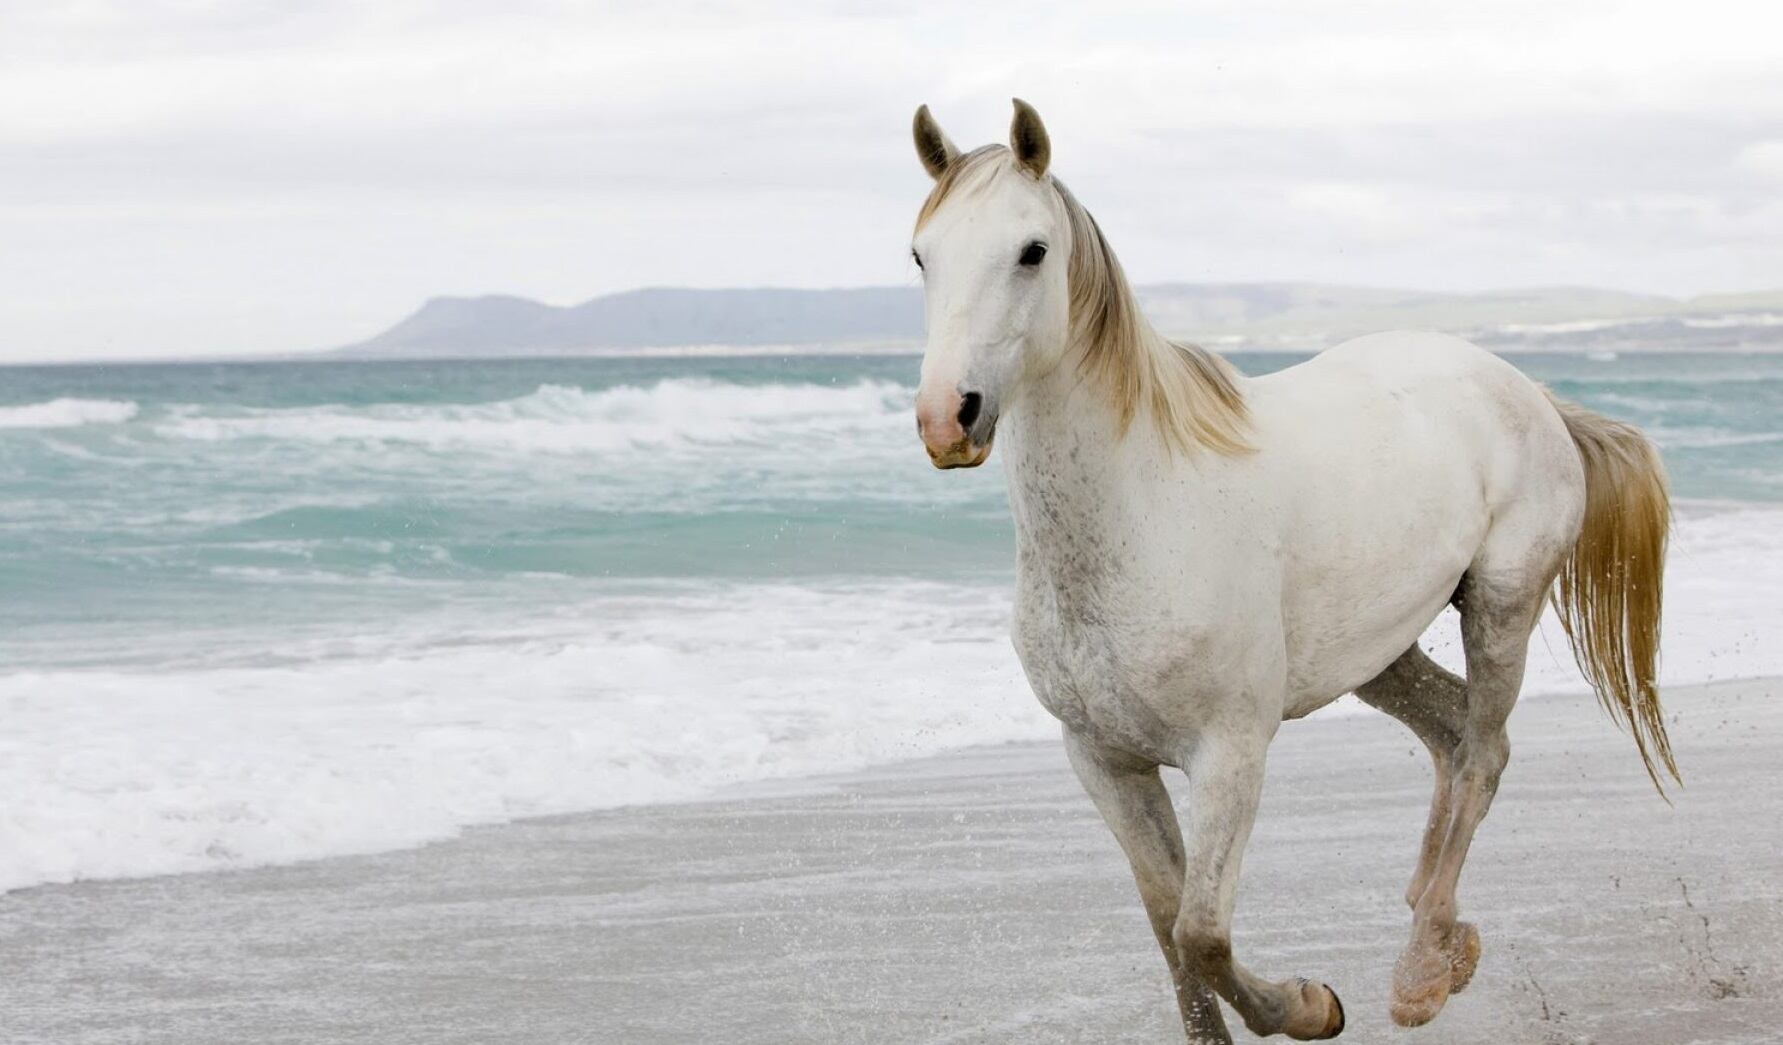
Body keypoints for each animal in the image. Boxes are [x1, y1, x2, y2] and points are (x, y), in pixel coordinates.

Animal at [912, 99, 1676, 1041]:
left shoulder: (1229, 753)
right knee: (1452, 733)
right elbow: (1167, 929)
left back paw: (1420, 971)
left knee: (1483, 751)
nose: (947, 417)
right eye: (922, 255)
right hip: (1377, 653)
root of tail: (1533, 395)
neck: (1141, 509)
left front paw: (1312, 1005)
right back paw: (1441, 934)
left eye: (1031, 251)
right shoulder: (1103, 760)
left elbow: (1200, 932)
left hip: (1500, 606)